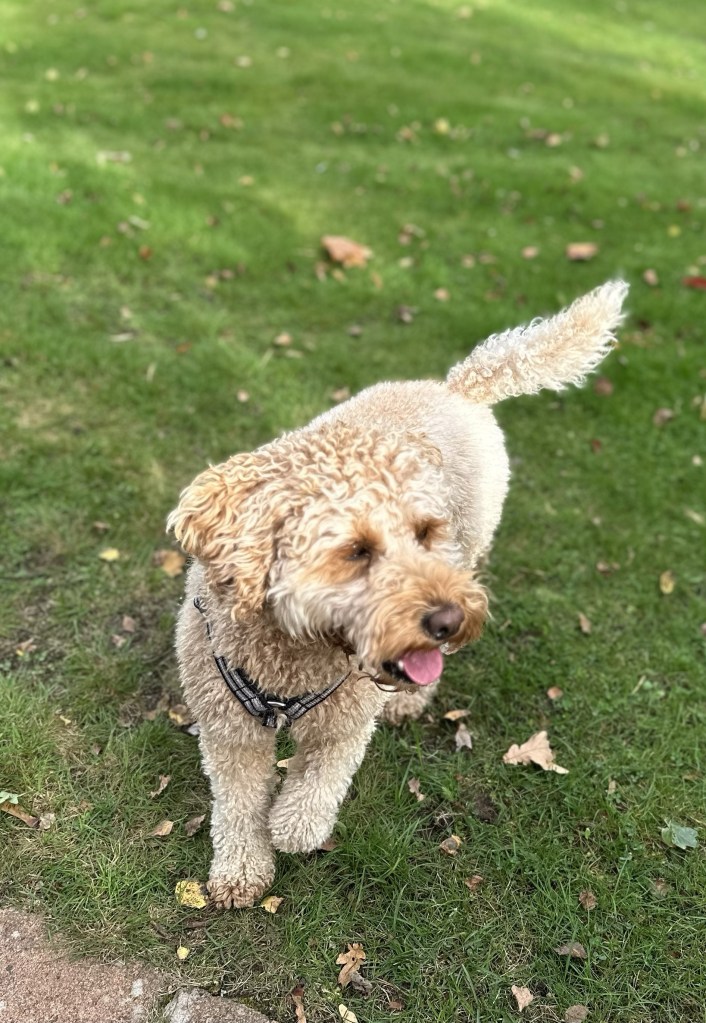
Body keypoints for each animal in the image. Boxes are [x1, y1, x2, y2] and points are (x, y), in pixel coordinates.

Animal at [168, 280, 627, 909]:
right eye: (357, 550)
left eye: (424, 533)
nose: (449, 619)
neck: (290, 658)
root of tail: (455, 387)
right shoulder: (228, 729)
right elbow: (237, 806)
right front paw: (241, 871)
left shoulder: (344, 721)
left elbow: (314, 791)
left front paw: (291, 827)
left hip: (470, 550)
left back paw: (410, 699)